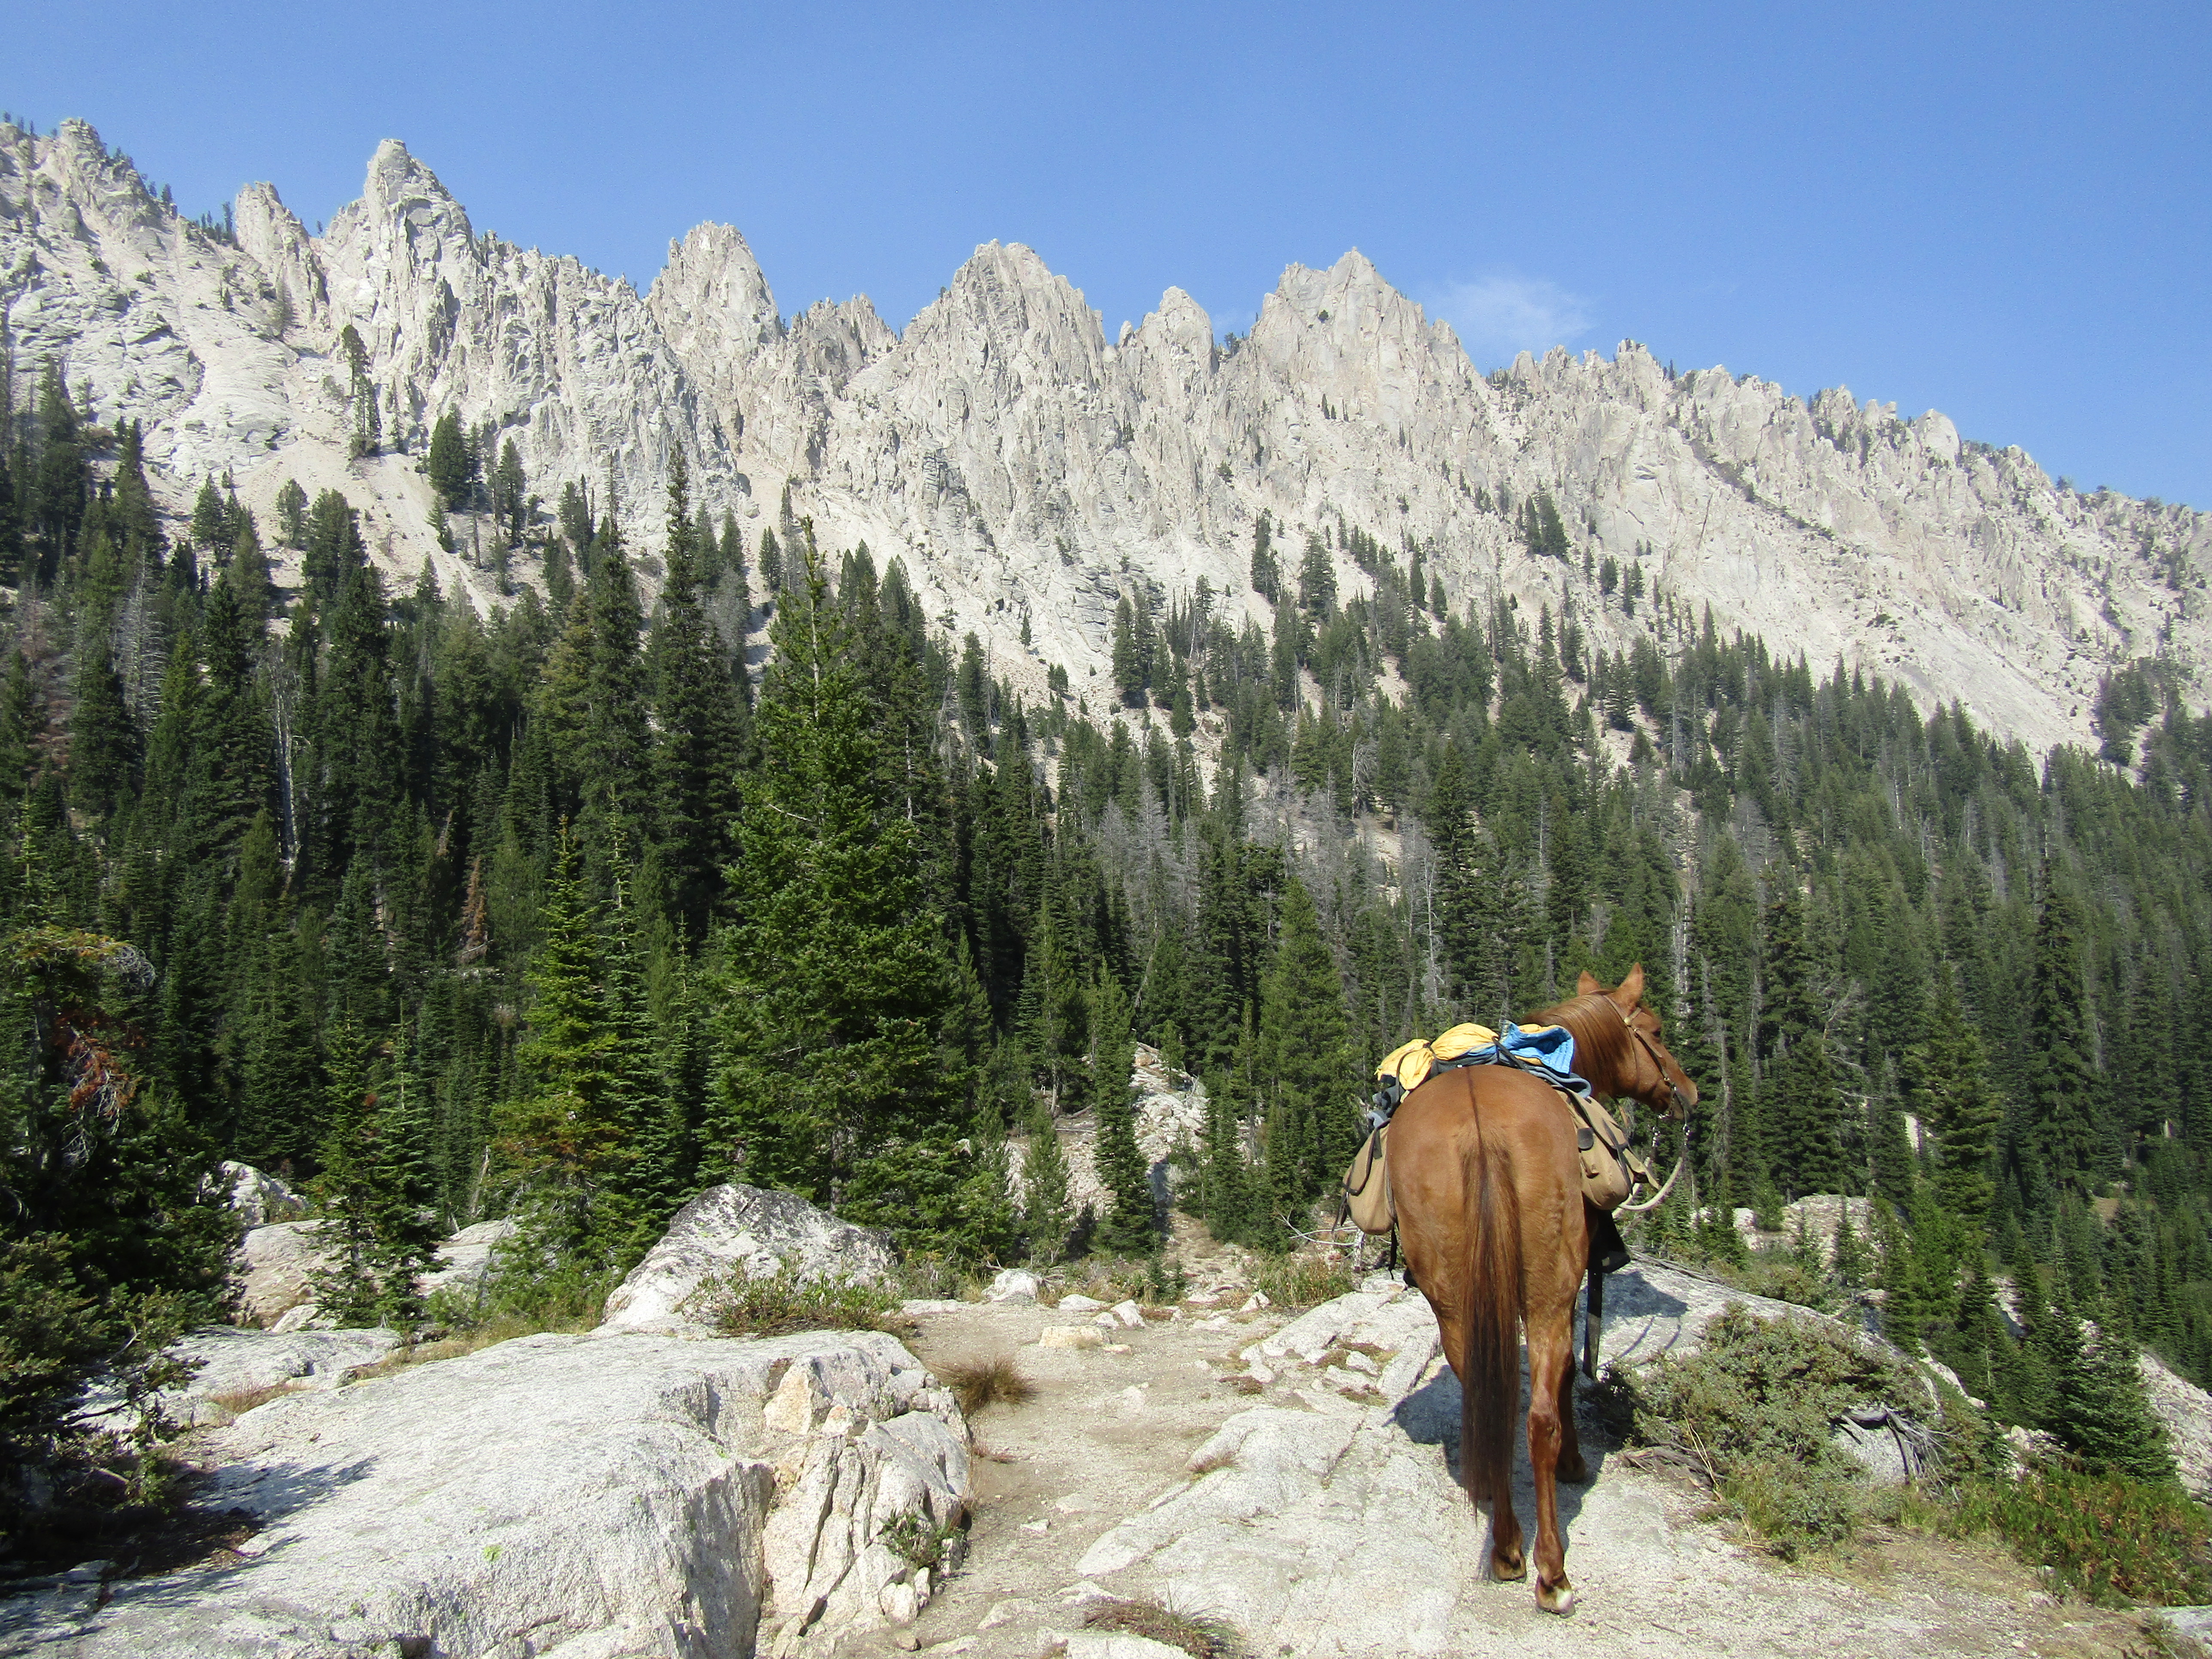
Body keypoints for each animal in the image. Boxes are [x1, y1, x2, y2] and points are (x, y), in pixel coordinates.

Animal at [1384, 965, 1697, 1613]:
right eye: (1655, 1030)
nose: (1689, 1092)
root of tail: (1478, 1124)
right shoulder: (1570, 1286)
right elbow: (1569, 1377)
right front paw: (1578, 1461)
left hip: (1453, 1301)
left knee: (1491, 1403)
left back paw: (1506, 1548)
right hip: (1550, 1288)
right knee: (1539, 1418)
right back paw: (1552, 1574)